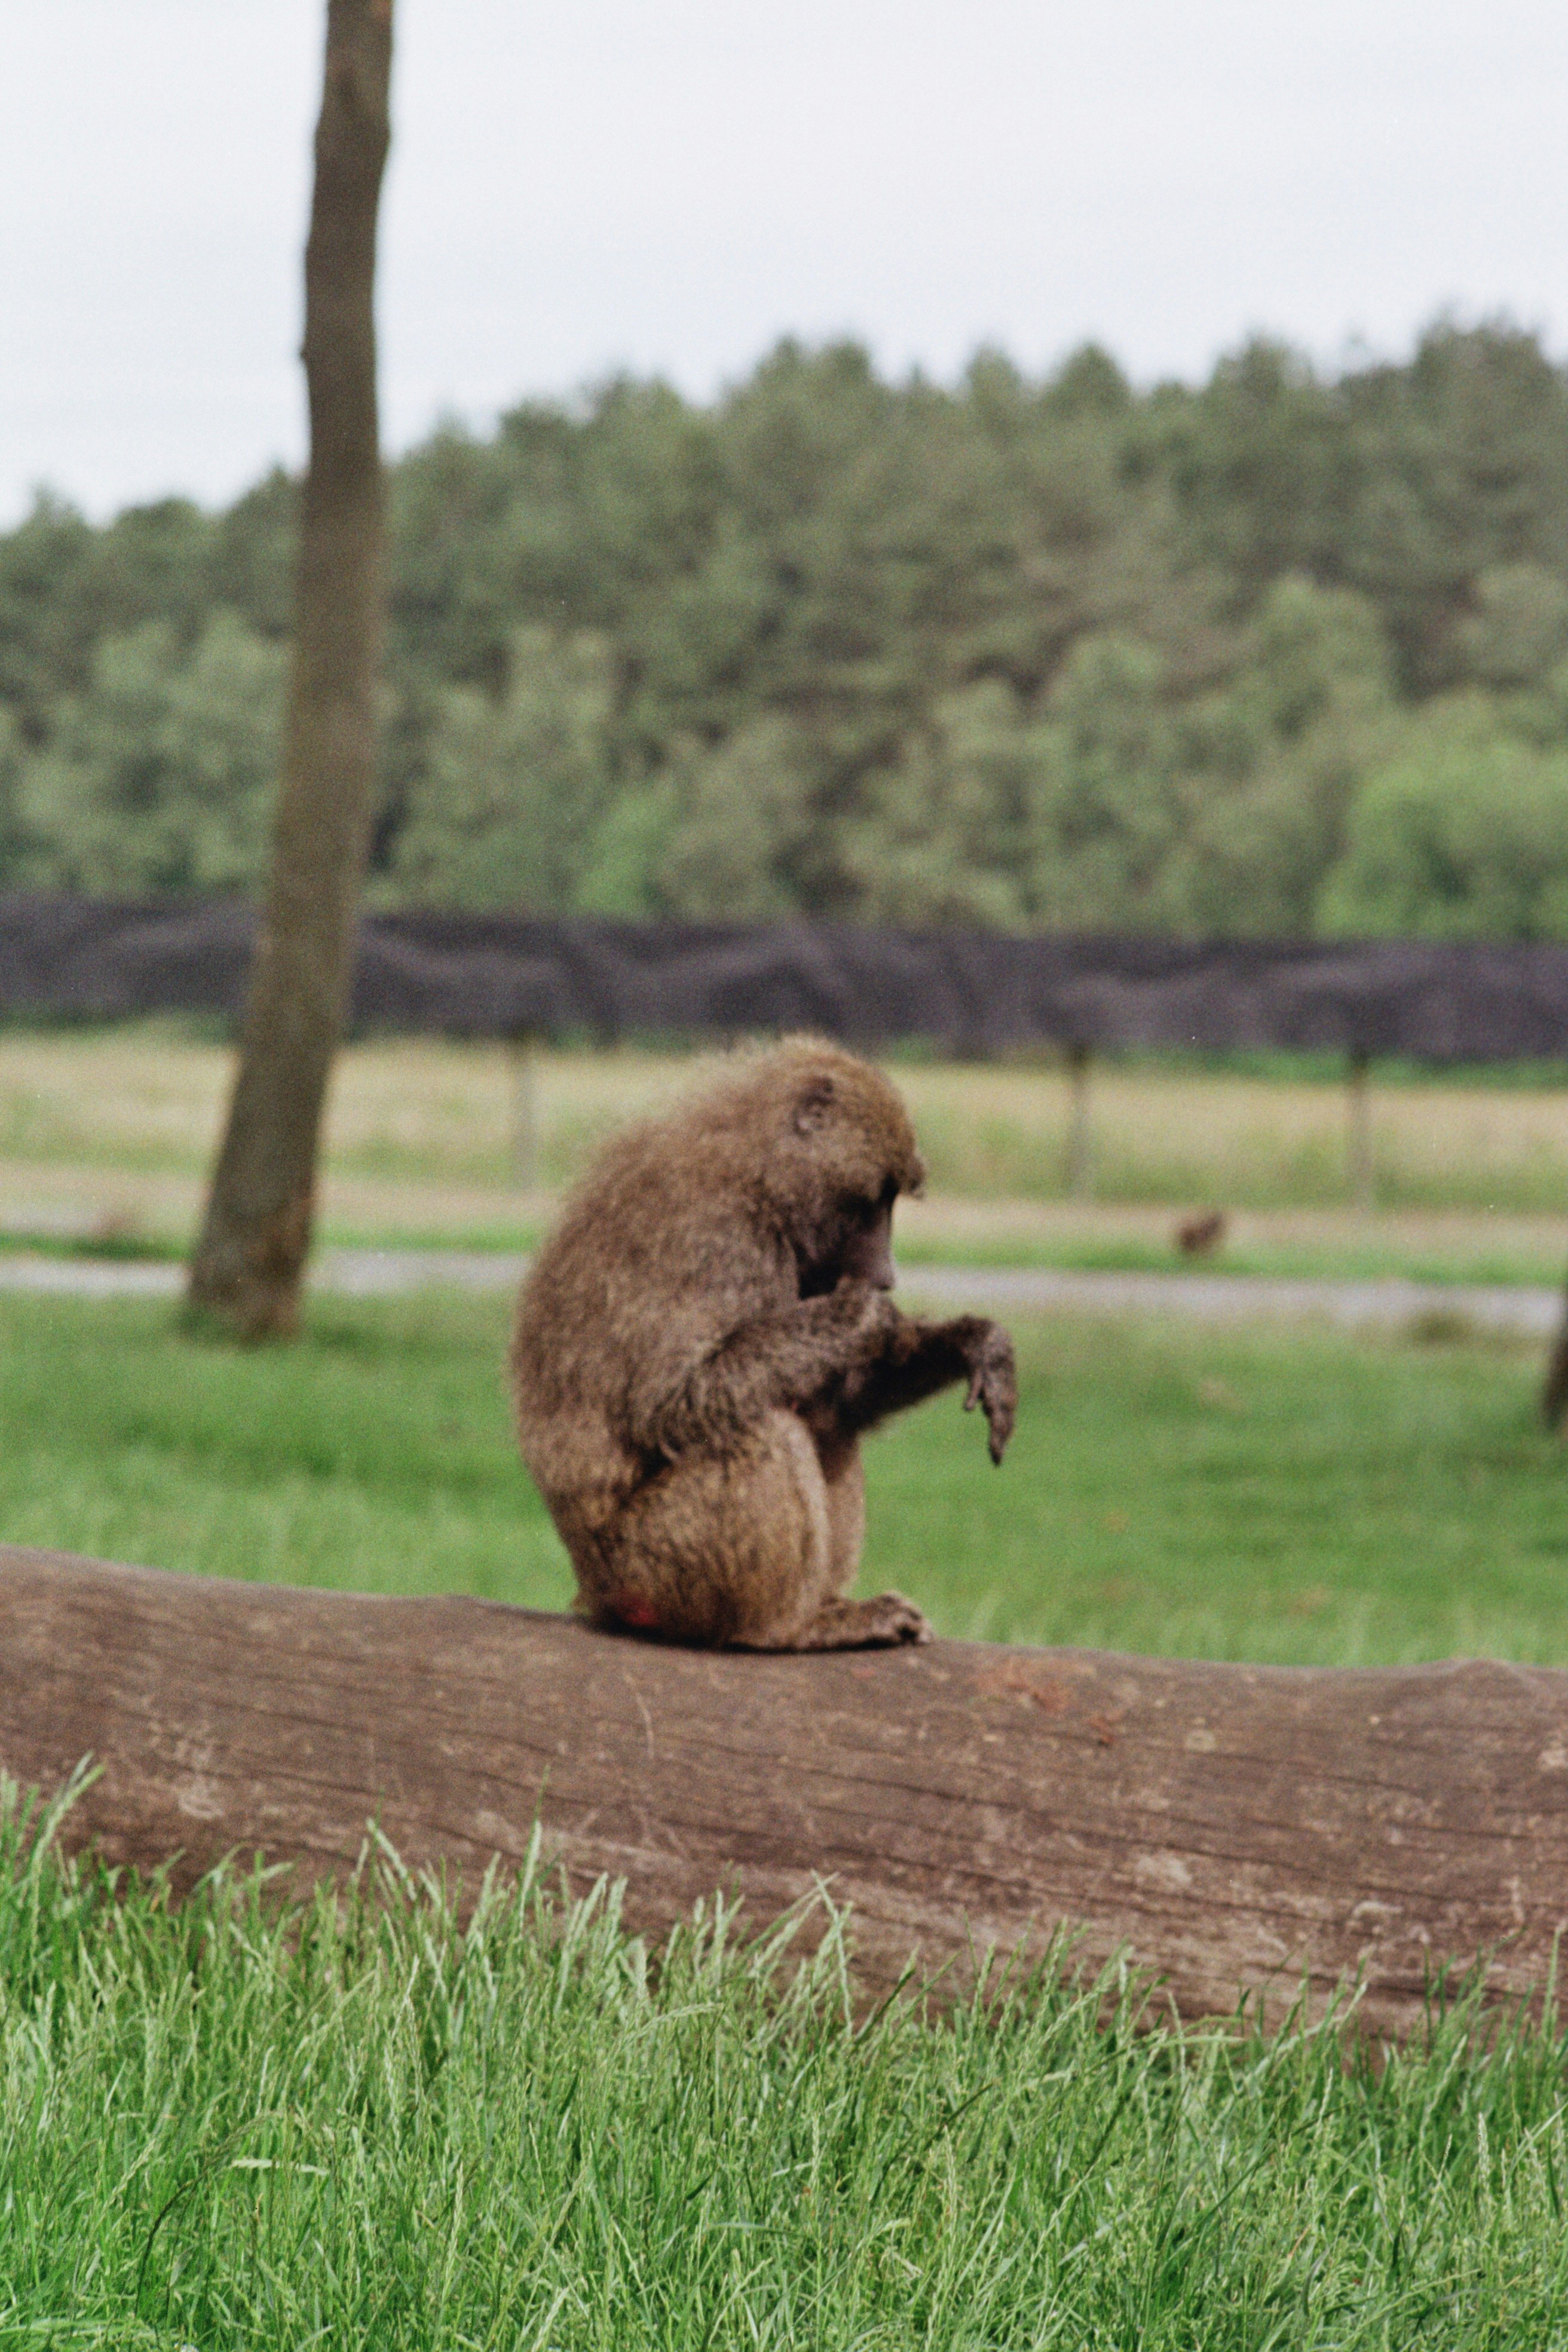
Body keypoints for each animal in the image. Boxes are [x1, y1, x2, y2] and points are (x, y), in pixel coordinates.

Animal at [510, 1037, 1017, 1650]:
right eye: (875, 1201)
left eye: (892, 1199)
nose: (885, 1276)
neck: (760, 1174)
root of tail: (591, 1589)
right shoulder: (716, 1241)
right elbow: (667, 1406)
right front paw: (861, 1317)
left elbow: (841, 1398)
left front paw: (975, 1342)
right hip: (648, 1567)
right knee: (760, 1426)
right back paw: (789, 1627)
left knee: (822, 1420)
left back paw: (827, 1606)